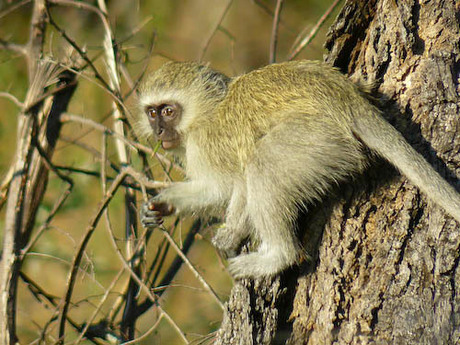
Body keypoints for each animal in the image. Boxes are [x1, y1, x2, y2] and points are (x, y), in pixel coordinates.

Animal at [136, 60, 460, 278]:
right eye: (152, 113)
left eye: (168, 111)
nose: (159, 130)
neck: (207, 110)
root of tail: (346, 101)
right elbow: (215, 190)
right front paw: (161, 204)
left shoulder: (207, 145)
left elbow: (231, 186)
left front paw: (231, 234)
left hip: (317, 141)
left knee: (263, 162)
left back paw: (277, 257)